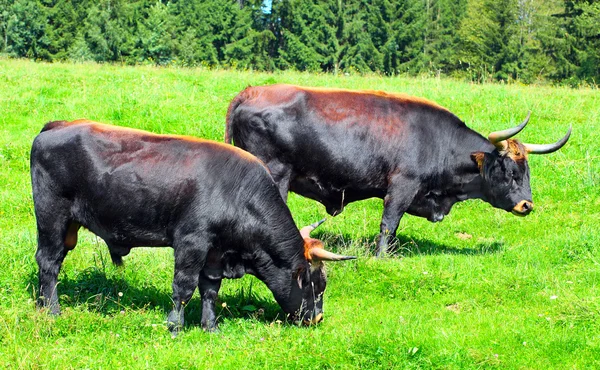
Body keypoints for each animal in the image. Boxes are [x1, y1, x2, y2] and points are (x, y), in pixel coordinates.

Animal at [30, 120, 354, 334]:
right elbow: (184, 287)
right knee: (48, 263)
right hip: (51, 219)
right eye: (317, 284)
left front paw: (210, 327)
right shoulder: (191, 242)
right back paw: (51, 310)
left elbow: (210, 289)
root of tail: (56, 126)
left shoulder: (216, 253)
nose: (317, 319)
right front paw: (175, 327)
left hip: (67, 227)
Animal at [226, 85, 572, 256]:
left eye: (527, 172)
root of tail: (251, 91)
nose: (526, 205)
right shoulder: (402, 186)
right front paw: (383, 257)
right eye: (510, 171)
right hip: (275, 175)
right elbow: (389, 225)